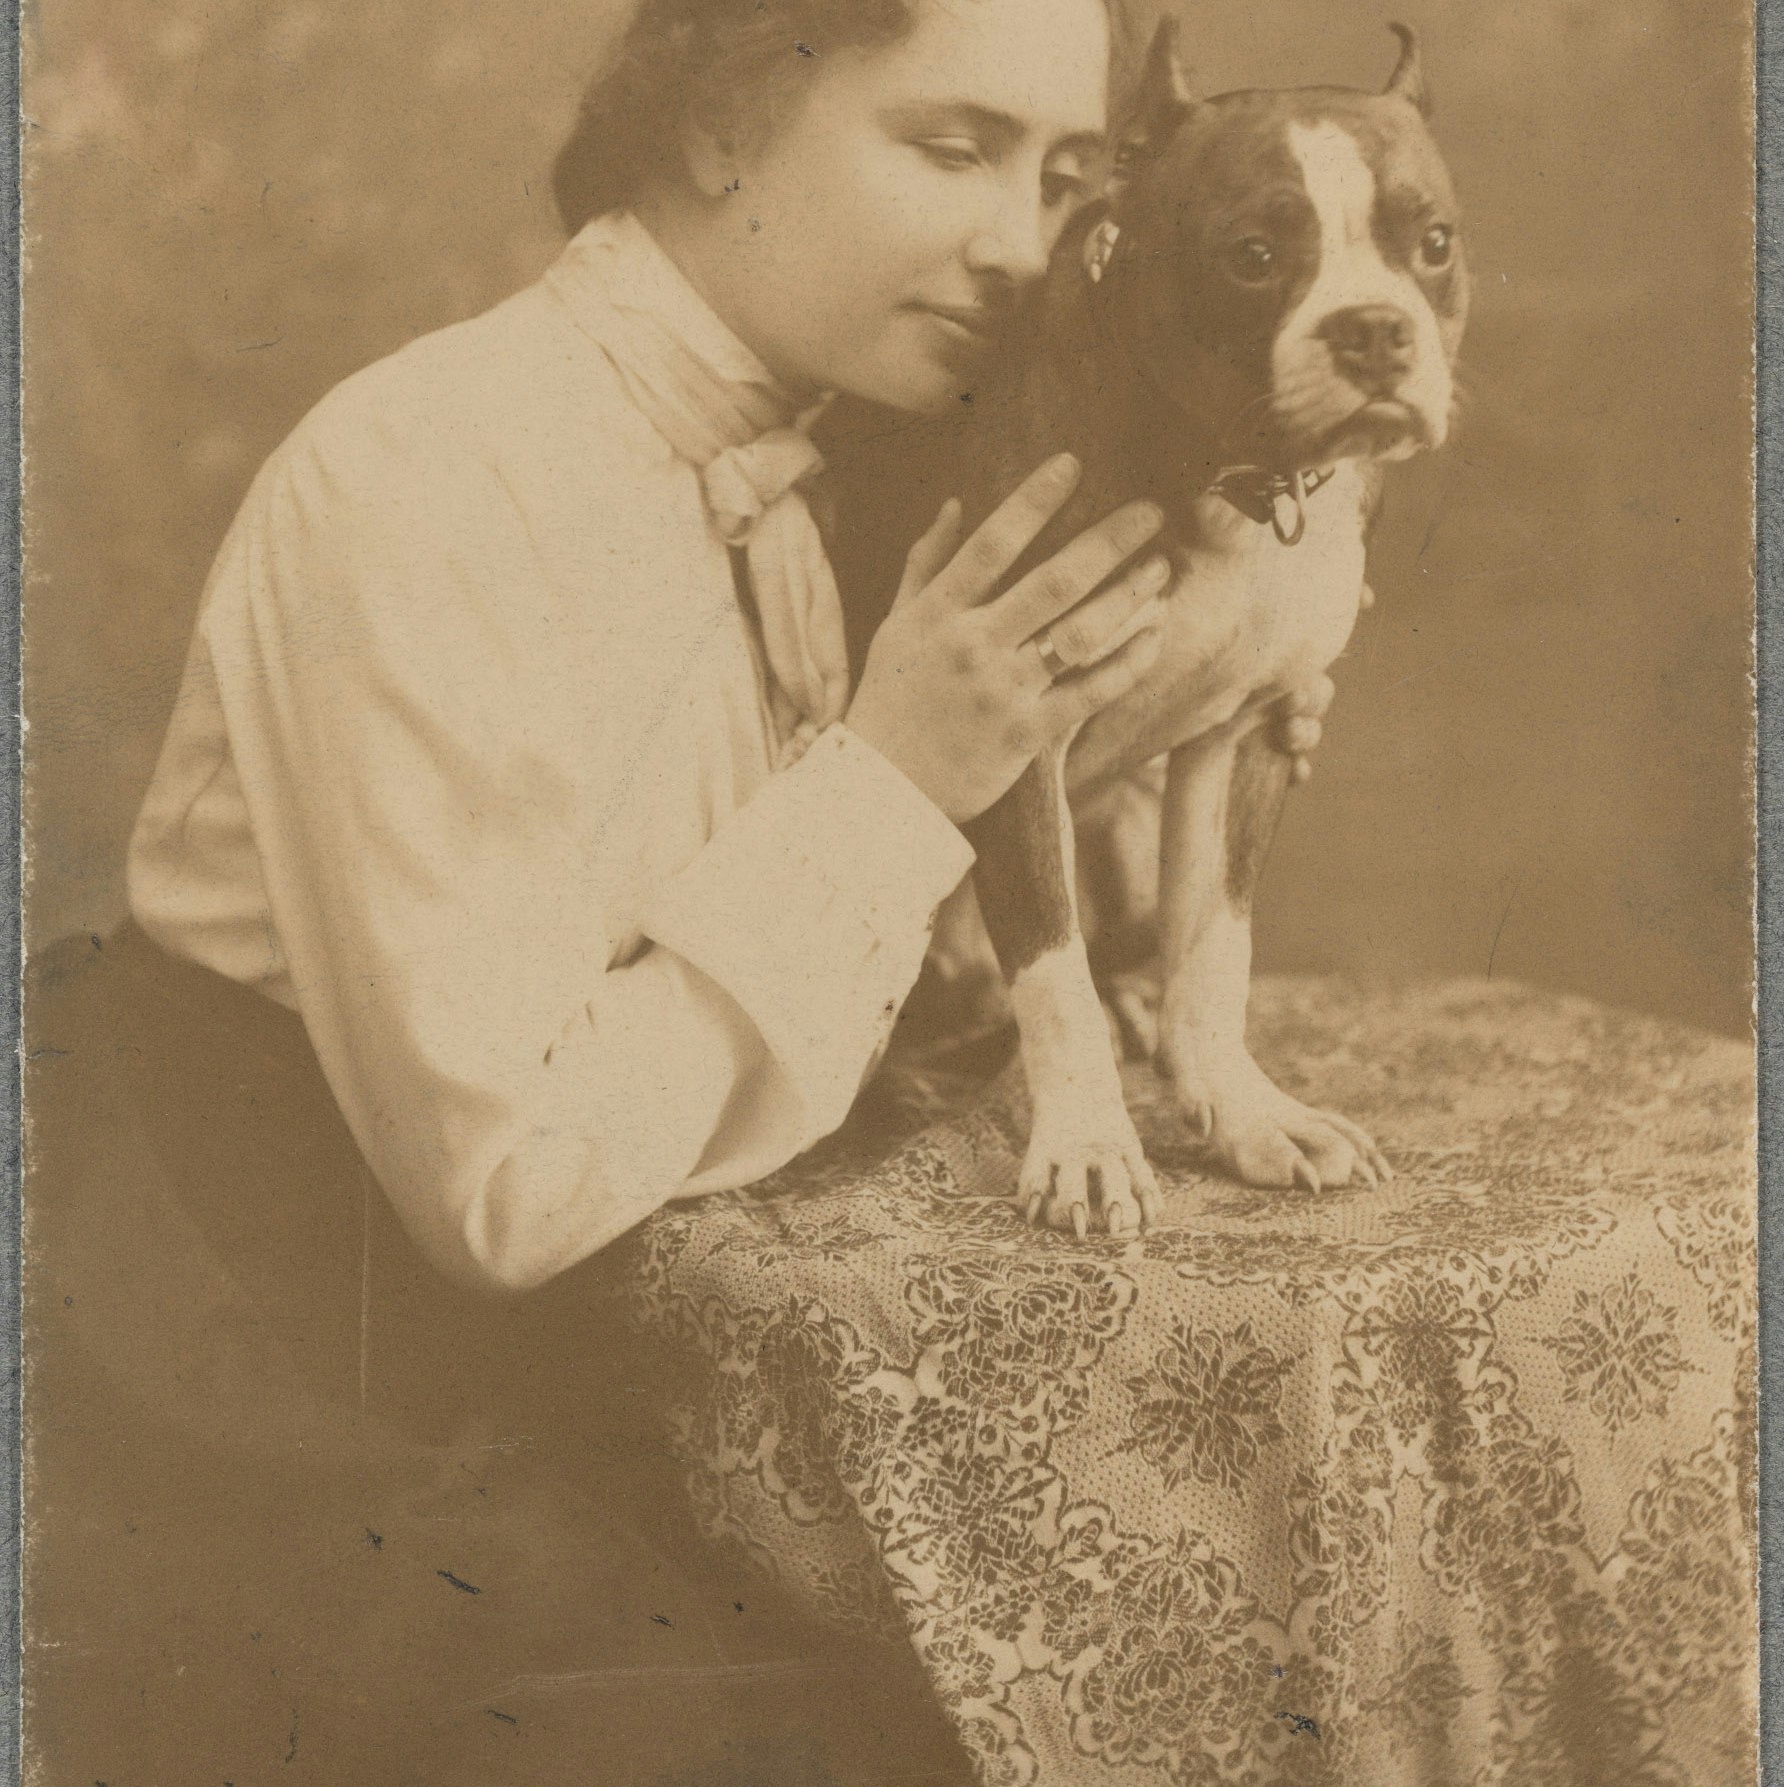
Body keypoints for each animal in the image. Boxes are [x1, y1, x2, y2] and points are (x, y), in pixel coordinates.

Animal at [823, 24, 1471, 1235]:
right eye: (1253, 254)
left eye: (1435, 243)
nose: (1372, 329)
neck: (1224, 473)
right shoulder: (1012, 729)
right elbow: (1050, 967)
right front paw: (1086, 1143)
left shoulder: (1240, 737)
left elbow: (1215, 947)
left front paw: (1246, 1112)